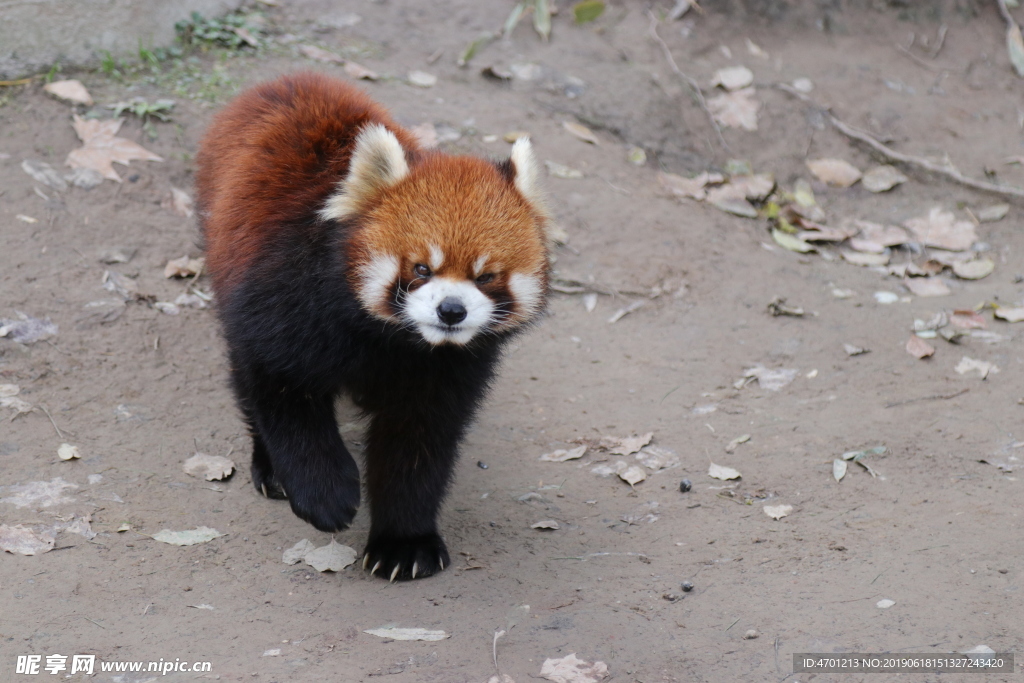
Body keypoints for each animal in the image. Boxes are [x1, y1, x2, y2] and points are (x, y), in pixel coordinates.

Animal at [192, 72, 552, 581]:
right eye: (421, 268)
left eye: (485, 277)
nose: (451, 311)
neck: (390, 338)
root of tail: (286, 81)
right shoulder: (283, 307)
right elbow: (282, 395)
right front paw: (327, 495)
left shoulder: (446, 369)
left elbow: (417, 442)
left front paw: (404, 542)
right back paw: (270, 468)